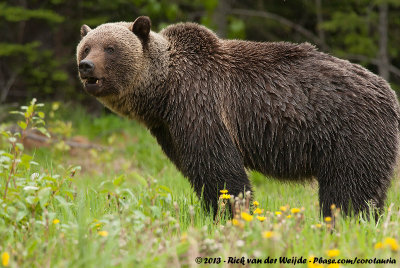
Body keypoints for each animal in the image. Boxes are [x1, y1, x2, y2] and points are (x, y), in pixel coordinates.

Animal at [76, 16, 400, 218]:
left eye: (110, 47)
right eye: (86, 46)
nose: (86, 65)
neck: (163, 92)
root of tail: (389, 91)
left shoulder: (201, 104)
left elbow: (218, 169)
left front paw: (233, 213)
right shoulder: (169, 128)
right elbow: (196, 169)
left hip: (351, 131)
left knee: (349, 188)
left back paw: (343, 220)